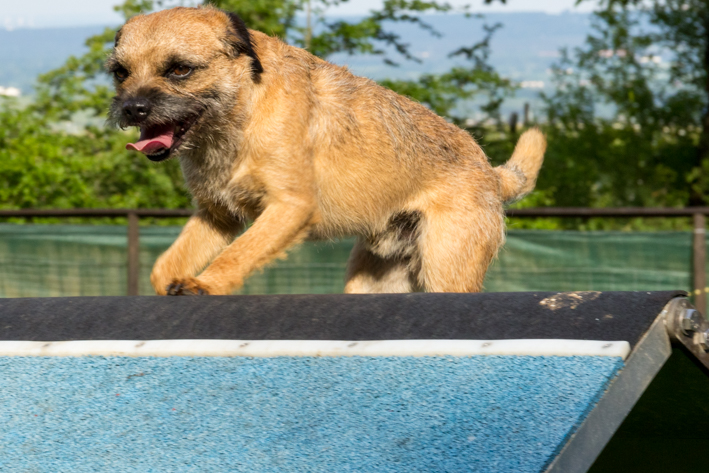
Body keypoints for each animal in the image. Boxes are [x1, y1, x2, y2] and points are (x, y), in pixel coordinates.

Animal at [106, 5, 548, 296]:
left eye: (180, 69)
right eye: (120, 72)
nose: (132, 107)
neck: (239, 114)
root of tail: (489, 172)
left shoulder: (289, 207)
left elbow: (237, 254)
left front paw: (205, 284)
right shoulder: (216, 216)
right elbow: (168, 262)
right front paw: (172, 283)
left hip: (447, 270)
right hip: (374, 281)